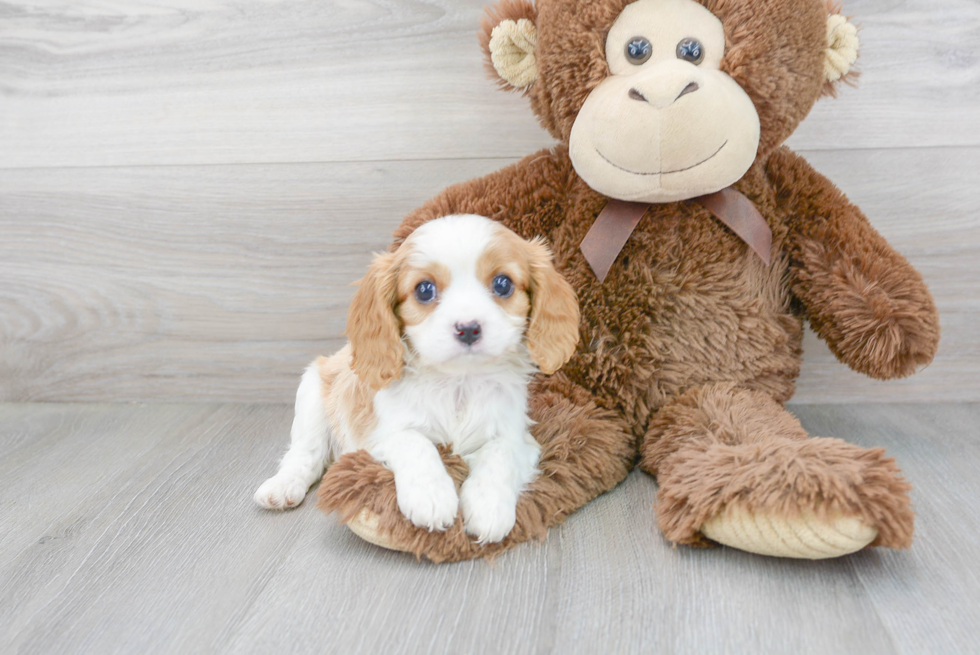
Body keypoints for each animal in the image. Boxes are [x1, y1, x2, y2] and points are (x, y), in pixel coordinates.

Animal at [251, 214, 580, 544]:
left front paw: (489, 506)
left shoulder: (518, 436)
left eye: (503, 284)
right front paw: (432, 497)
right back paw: (283, 486)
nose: (468, 328)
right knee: (305, 454)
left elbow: (500, 454)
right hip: (313, 393)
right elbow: (414, 442)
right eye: (424, 290)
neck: (459, 383)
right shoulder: (379, 435)